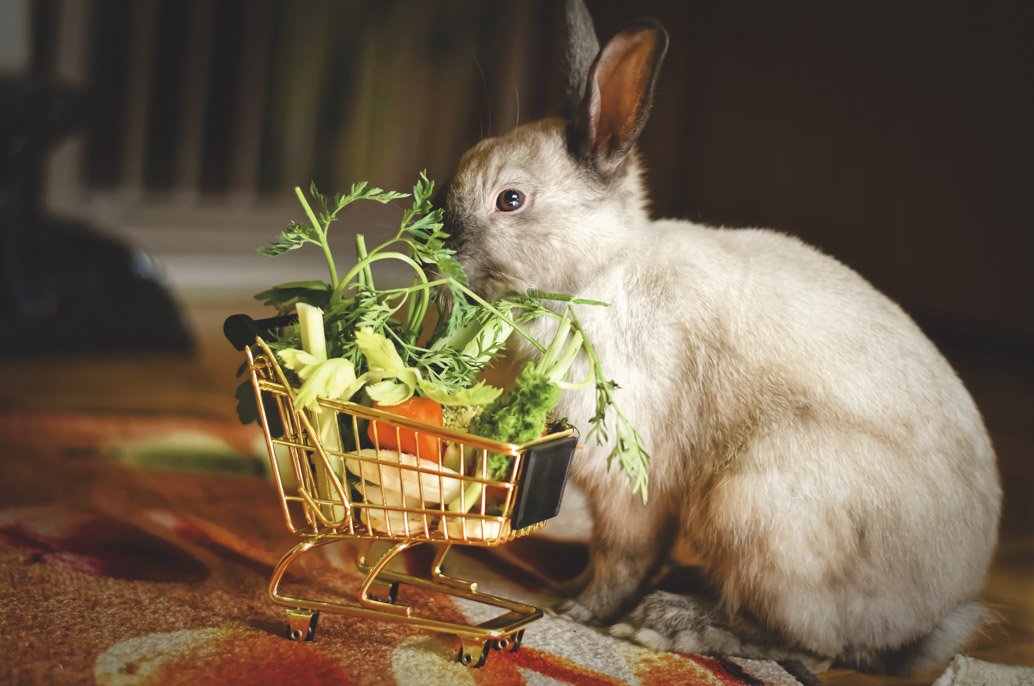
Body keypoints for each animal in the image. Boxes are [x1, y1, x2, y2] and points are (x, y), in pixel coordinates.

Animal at [438, 0, 1000, 674]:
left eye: (511, 199)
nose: (440, 247)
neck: (596, 273)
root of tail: (932, 616)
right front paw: (565, 588)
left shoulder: (631, 479)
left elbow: (620, 555)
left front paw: (575, 609)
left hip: (756, 504)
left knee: (811, 646)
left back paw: (670, 624)